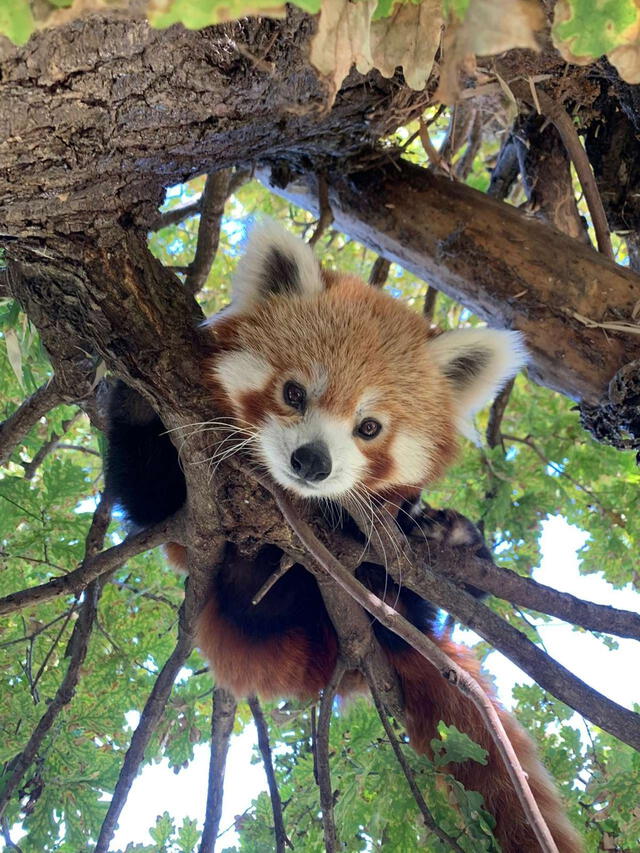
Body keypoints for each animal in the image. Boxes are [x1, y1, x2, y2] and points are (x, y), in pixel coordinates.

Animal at [107, 221, 584, 852]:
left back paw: (452, 538)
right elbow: (145, 493)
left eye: (369, 427)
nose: (312, 461)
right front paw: (135, 394)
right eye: (293, 394)